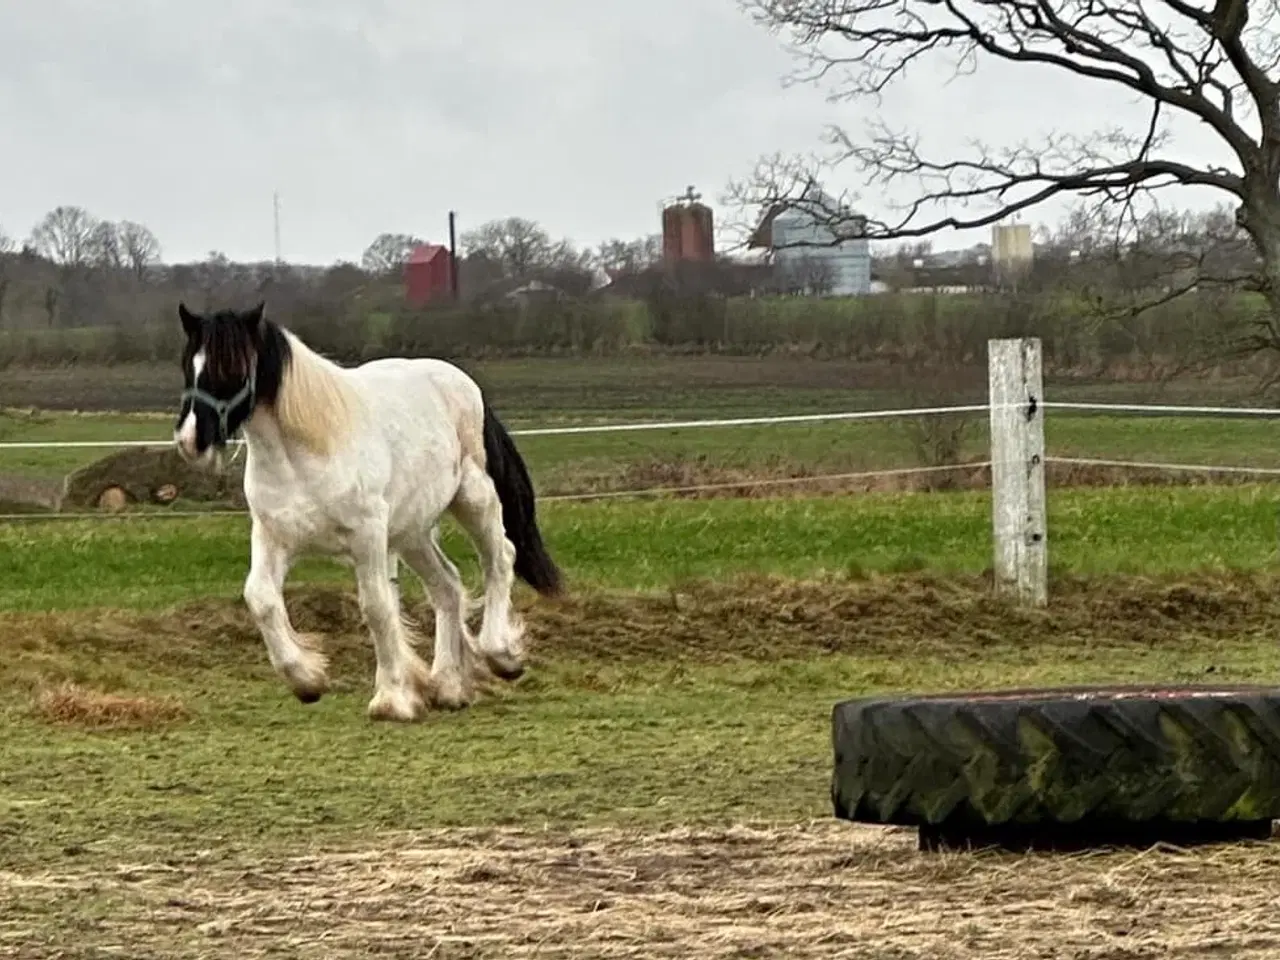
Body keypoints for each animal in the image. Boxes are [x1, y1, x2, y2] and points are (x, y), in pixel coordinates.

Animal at [170, 300, 560, 721]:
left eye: (232, 367)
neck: (304, 453)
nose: (191, 441)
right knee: (447, 586)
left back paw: (501, 655)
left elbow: (376, 606)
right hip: (412, 532)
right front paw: (307, 680)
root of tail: (468, 389)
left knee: (500, 557)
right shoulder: (274, 536)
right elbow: (260, 598)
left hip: (474, 500)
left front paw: (391, 699)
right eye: (187, 364)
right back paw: (448, 686)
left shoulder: (367, 536)